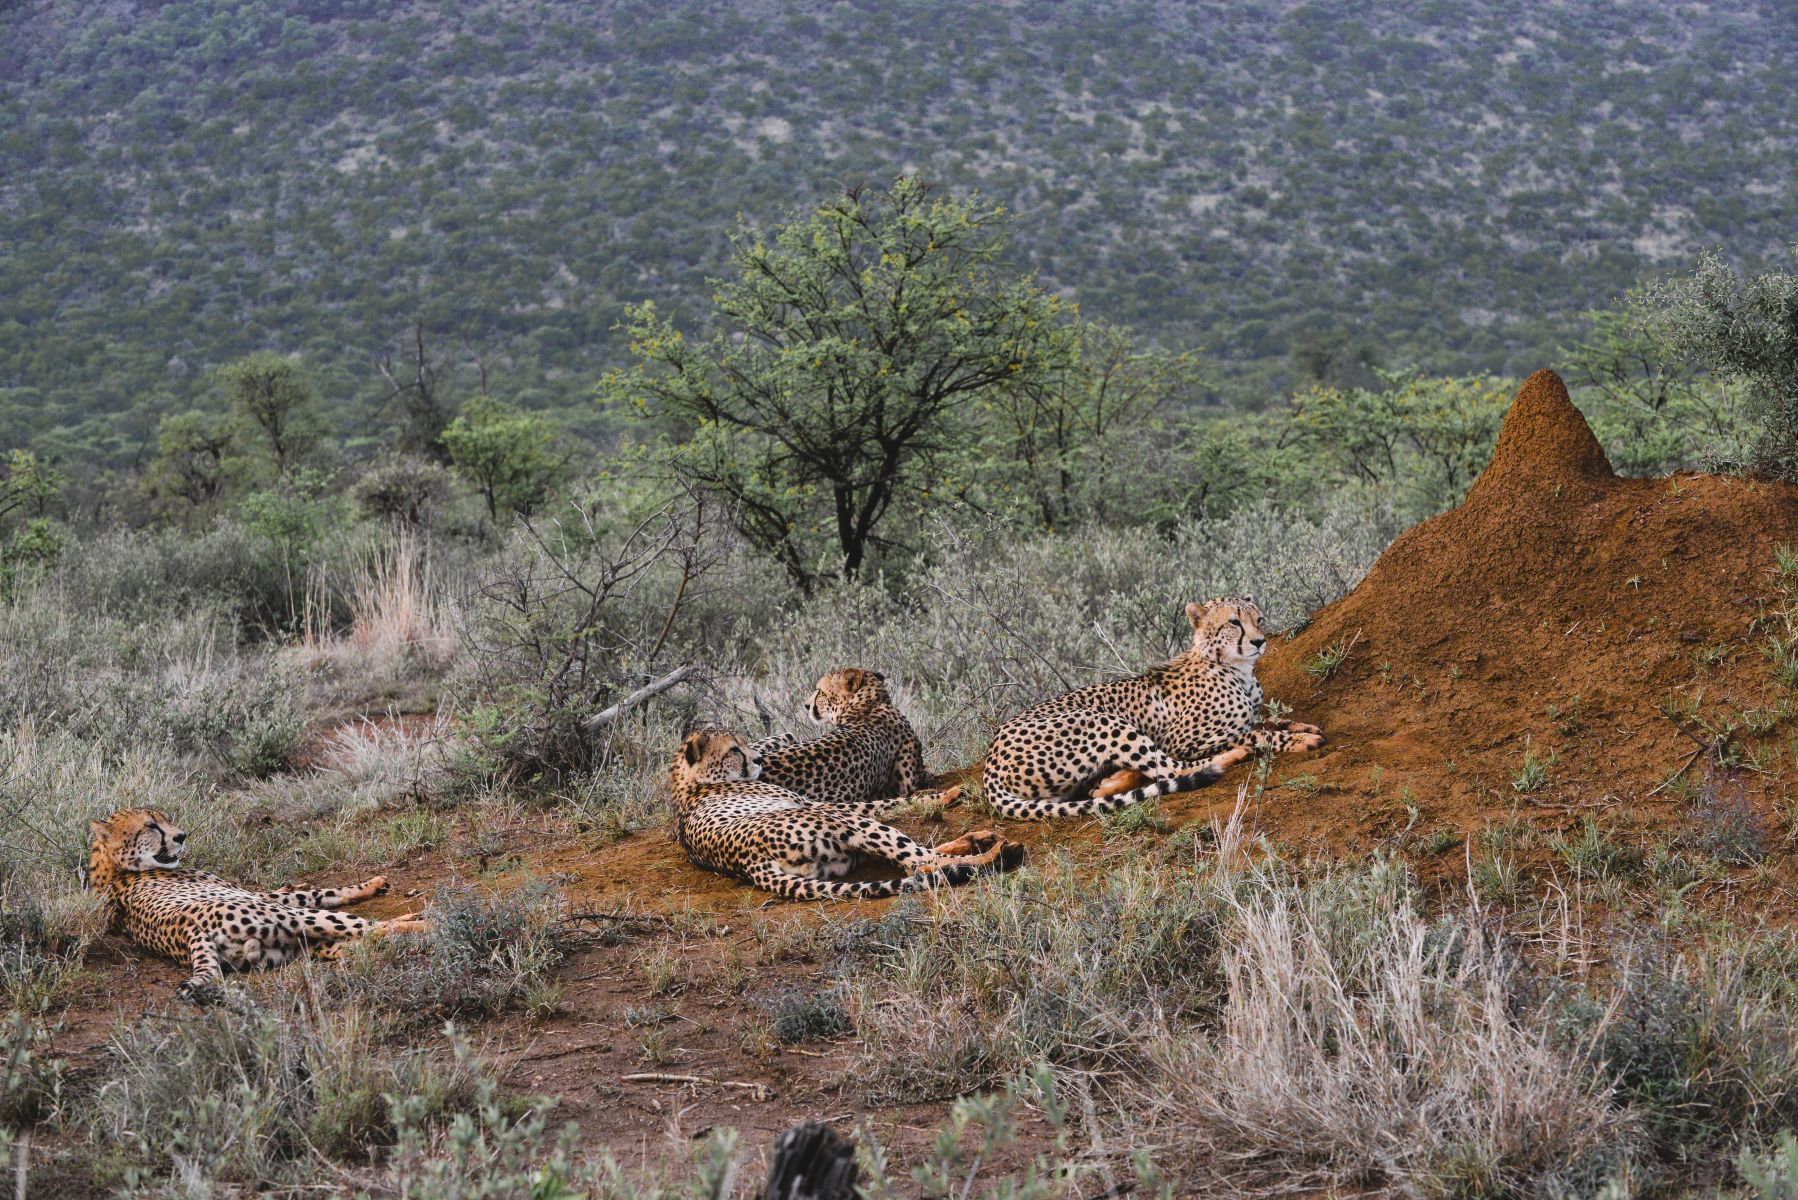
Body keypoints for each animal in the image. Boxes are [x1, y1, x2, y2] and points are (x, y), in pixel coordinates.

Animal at [83, 808, 431, 1002]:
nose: (182, 836)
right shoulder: (260, 898)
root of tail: (190, 932)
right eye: (150, 826)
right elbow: (322, 891)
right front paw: (372, 884)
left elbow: (304, 889)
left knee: (357, 944)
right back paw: (424, 921)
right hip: (295, 919)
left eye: (166, 820)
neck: (114, 869)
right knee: (368, 928)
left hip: (285, 948)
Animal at [669, 727, 1021, 900]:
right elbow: (890, 802)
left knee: (922, 857)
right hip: (844, 824)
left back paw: (978, 839)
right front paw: (944, 795)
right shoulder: (822, 805)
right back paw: (999, 854)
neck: (693, 784)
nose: (756, 760)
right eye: (734, 750)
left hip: (839, 857)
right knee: (920, 861)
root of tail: (749, 863)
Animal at [982, 596, 1323, 819]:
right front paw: (1297, 739)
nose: (1259, 641)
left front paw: (1301, 727)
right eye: (1234, 622)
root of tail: (990, 760)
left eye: (1258, 620)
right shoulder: (1181, 741)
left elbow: (1265, 722)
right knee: (1174, 768)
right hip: (1101, 721)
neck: (1235, 668)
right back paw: (1232, 756)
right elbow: (1256, 734)